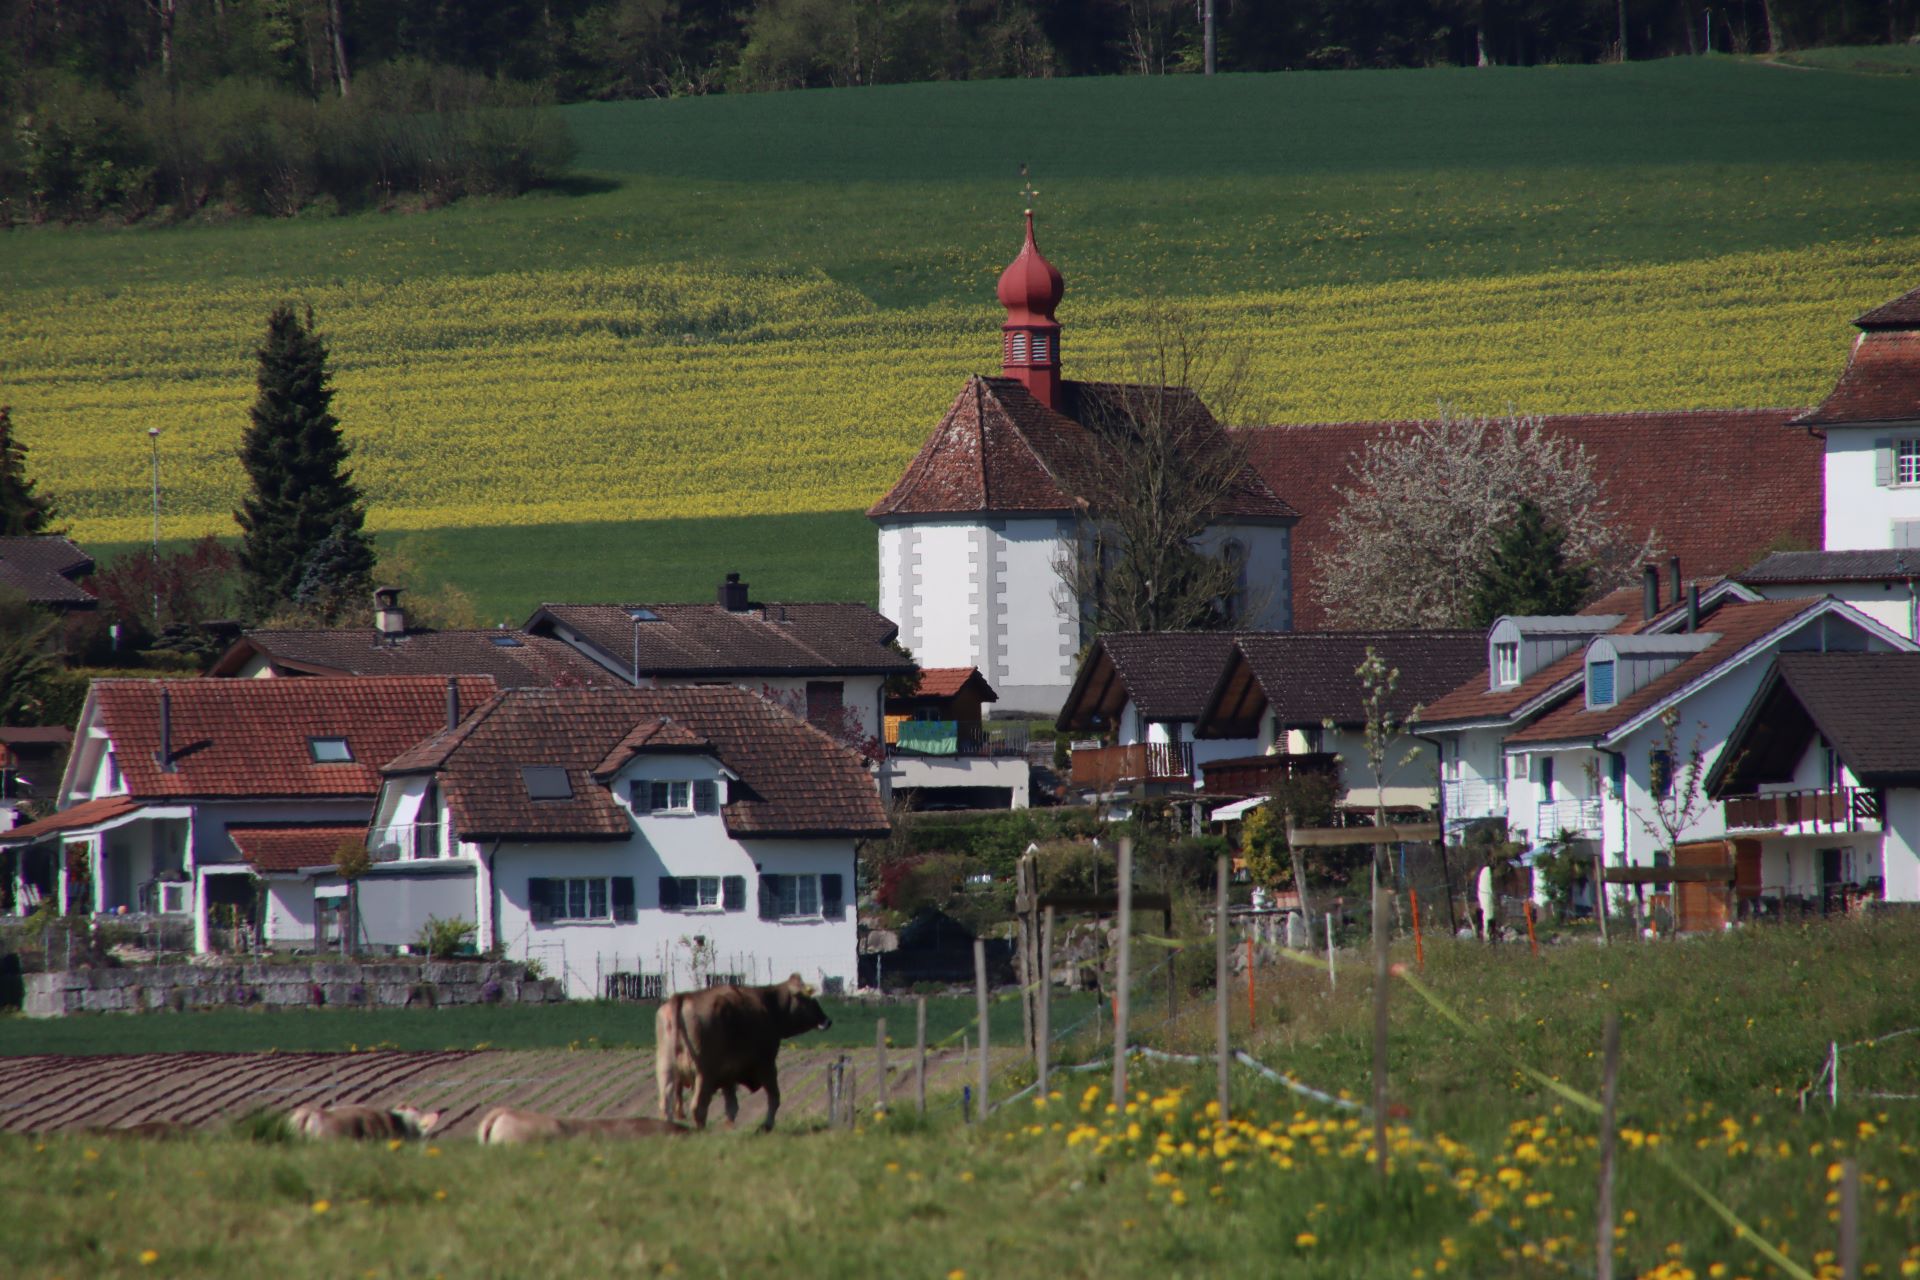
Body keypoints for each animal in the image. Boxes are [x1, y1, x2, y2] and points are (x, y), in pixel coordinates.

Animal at [656, 971, 829, 1128]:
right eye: (810, 998)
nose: (827, 1020)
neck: (769, 1005)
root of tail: (682, 997)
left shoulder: (727, 1076)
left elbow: (732, 1107)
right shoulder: (766, 1063)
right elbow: (774, 1096)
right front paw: (767, 1125)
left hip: (666, 1070)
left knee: (666, 1105)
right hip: (704, 1073)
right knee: (698, 1107)